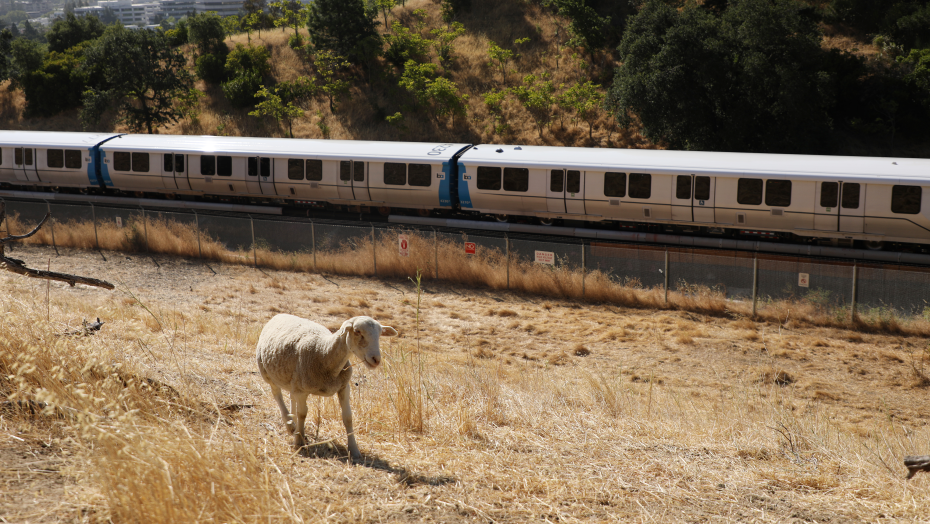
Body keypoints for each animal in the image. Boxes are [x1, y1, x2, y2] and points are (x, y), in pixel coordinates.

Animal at [256, 314, 398, 461]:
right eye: (357, 331)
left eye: (380, 334)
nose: (376, 359)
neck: (324, 352)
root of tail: (280, 315)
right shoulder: (301, 390)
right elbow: (302, 414)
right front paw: (299, 442)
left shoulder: (344, 387)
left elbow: (348, 417)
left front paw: (354, 450)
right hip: (267, 372)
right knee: (277, 395)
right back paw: (290, 424)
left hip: (293, 381)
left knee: (291, 397)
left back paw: (293, 424)